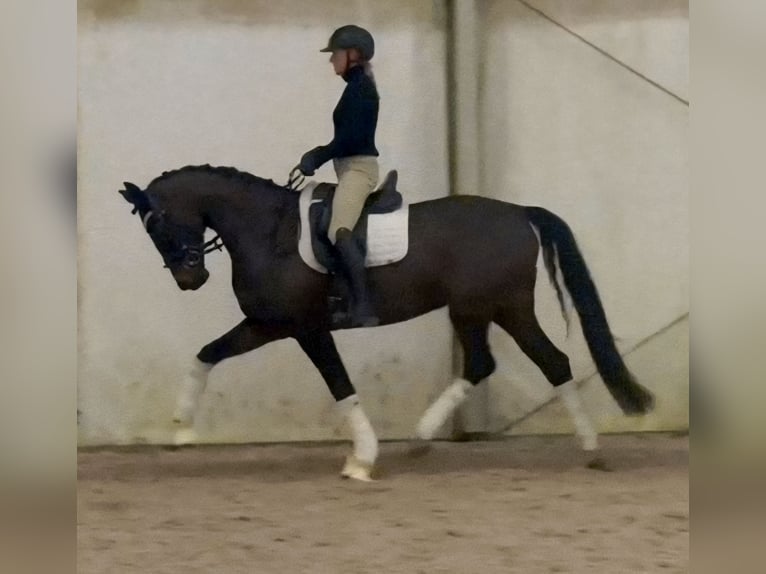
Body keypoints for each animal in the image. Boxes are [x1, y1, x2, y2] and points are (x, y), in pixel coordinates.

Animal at [119, 164, 654, 481]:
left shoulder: (306, 328)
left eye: (158, 225)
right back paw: (424, 437)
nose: (190, 279)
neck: (267, 233)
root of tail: (520, 213)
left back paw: (590, 448)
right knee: (491, 363)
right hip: (479, 309)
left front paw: (362, 460)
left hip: (498, 306)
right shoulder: (268, 323)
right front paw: (182, 429)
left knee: (547, 361)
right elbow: (206, 354)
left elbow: (341, 385)